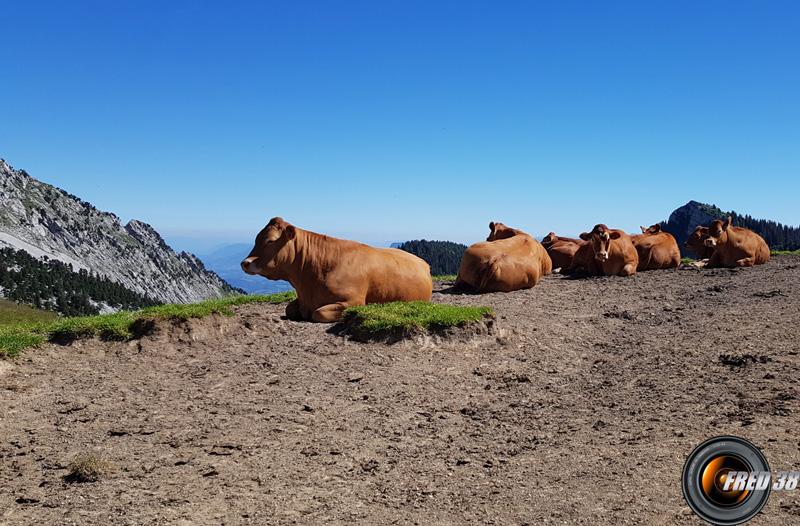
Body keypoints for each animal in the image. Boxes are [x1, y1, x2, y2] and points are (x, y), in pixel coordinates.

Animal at [242, 218, 434, 324]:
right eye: (256, 238)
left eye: (270, 241)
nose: (245, 263)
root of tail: (423, 262)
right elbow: (289, 308)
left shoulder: (354, 301)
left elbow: (318, 313)